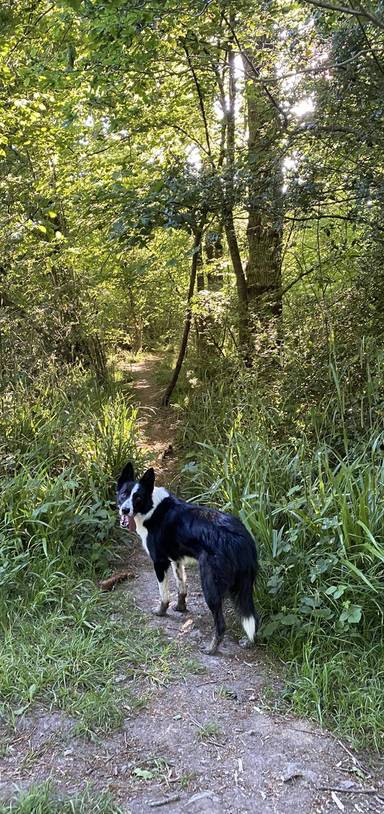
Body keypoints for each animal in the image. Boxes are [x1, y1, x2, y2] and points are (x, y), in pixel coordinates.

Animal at [118, 466, 260, 656]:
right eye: (124, 494)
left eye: (138, 497)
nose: (125, 510)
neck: (152, 507)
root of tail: (241, 539)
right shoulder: (176, 560)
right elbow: (181, 587)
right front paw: (181, 607)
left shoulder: (159, 562)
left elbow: (164, 595)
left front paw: (160, 611)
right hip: (244, 585)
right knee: (253, 616)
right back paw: (248, 641)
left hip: (210, 585)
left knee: (221, 624)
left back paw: (211, 648)